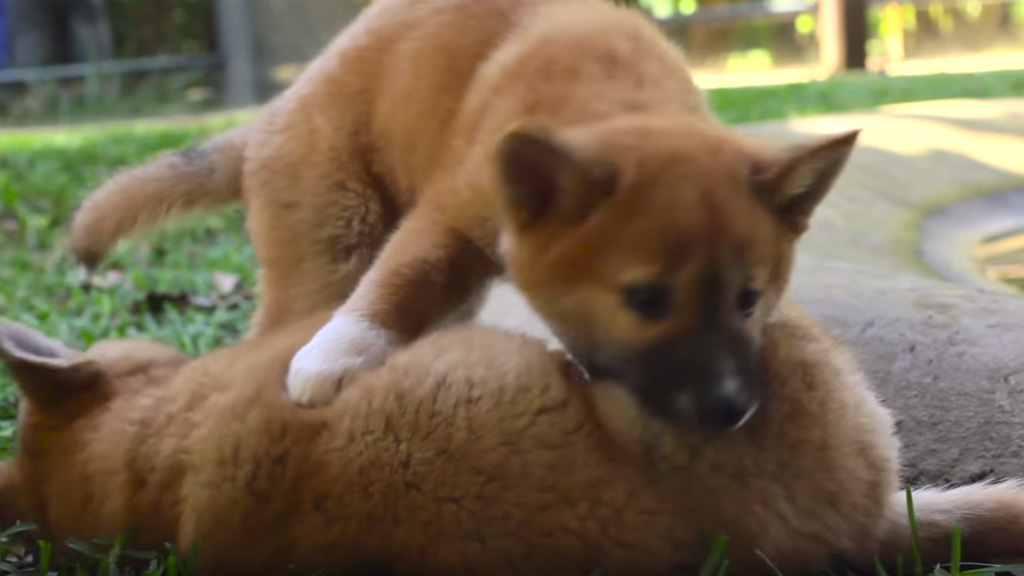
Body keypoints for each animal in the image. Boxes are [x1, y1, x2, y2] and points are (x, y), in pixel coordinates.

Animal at [68, 0, 860, 424]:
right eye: (646, 299)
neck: (615, 101)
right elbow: (398, 283)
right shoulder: (447, 214)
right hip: (334, 239)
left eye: (750, 299)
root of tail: (268, 118)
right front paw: (336, 356)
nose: (731, 409)